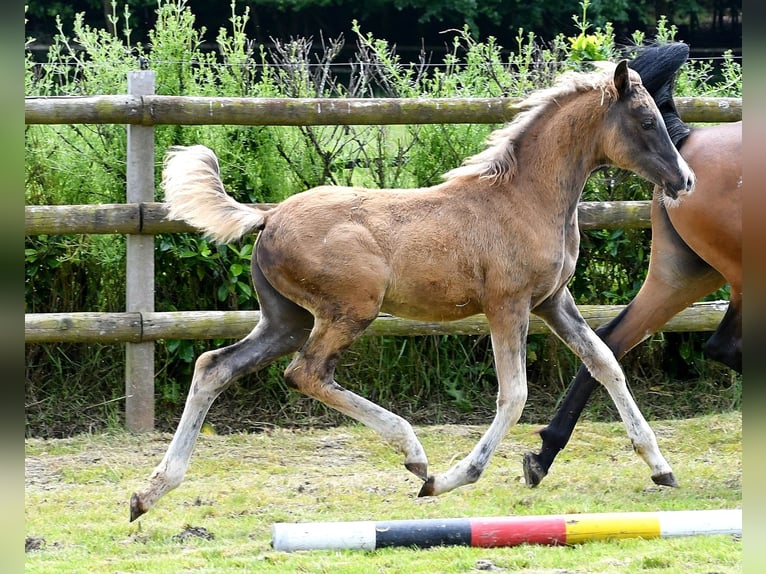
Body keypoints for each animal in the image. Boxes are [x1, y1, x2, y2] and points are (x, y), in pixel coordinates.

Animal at [130, 59, 696, 520]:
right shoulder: (507, 305)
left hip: (285, 319)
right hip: (350, 309)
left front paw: (661, 467)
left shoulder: (553, 302)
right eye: (647, 121)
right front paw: (451, 480)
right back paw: (415, 456)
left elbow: (605, 362)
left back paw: (149, 492)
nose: (686, 180)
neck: (524, 198)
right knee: (306, 373)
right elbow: (514, 394)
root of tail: (268, 217)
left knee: (214, 367)